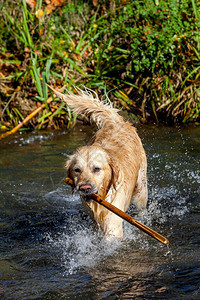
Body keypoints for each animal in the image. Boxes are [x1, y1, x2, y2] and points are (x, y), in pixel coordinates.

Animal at [49, 86, 148, 239]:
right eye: (77, 170)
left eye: (97, 169)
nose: (85, 188)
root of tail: (116, 122)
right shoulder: (94, 221)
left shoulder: (113, 226)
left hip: (140, 190)